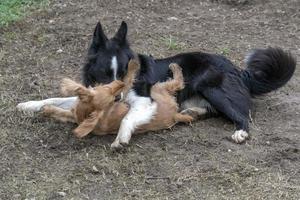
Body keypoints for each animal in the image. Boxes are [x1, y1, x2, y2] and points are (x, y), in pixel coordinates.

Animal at [17, 21, 296, 146]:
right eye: (106, 73)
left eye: (123, 73)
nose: (116, 100)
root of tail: (239, 69)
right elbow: (53, 98)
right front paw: (28, 105)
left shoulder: (145, 100)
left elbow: (128, 118)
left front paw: (121, 137)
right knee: (212, 110)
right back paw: (194, 111)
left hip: (211, 86)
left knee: (243, 114)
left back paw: (240, 132)